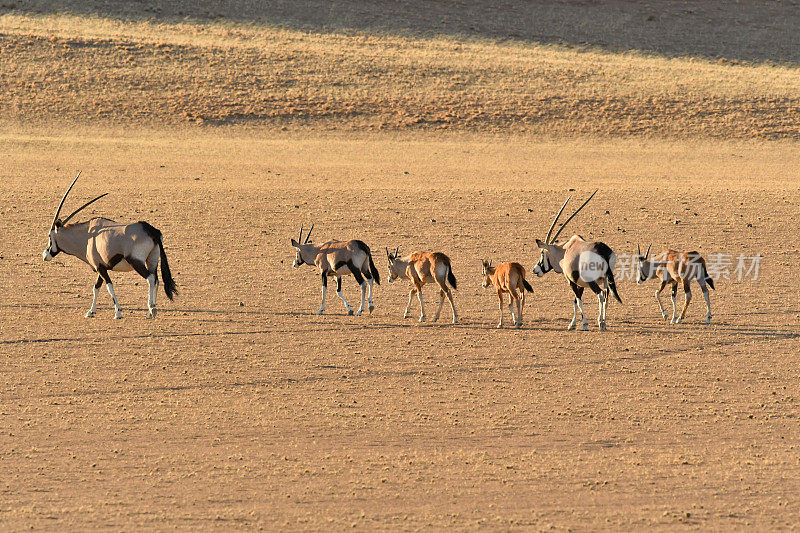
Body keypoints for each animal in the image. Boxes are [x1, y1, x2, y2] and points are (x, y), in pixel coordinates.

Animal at [43, 172, 177, 318]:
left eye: (50, 236)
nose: (45, 255)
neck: (87, 236)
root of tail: (151, 230)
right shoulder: (101, 267)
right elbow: (96, 287)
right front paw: (91, 311)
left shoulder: (100, 268)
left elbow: (109, 286)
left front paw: (118, 312)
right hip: (152, 260)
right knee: (156, 279)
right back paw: (150, 312)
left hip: (137, 262)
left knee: (151, 278)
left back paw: (152, 308)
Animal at [536, 191, 620, 330]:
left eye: (542, 253)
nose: (535, 270)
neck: (565, 251)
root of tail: (603, 251)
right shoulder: (580, 284)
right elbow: (576, 301)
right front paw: (573, 323)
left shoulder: (571, 281)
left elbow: (579, 301)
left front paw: (583, 324)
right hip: (606, 279)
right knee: (607, 295)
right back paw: (603, 322)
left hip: (593, 281)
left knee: (600, 295)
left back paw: (600, 323)